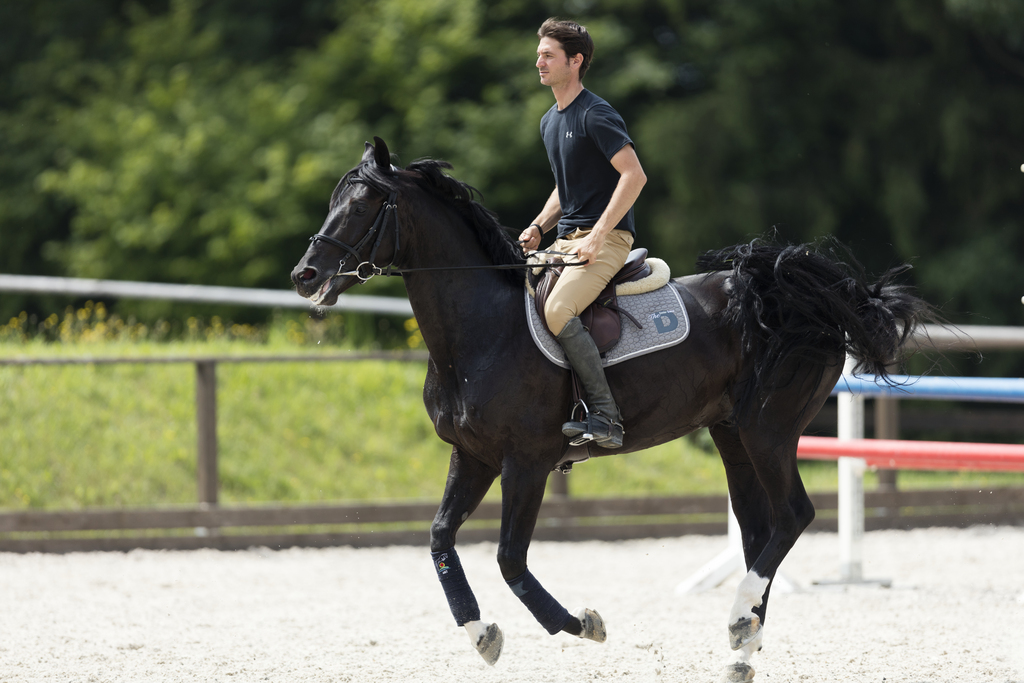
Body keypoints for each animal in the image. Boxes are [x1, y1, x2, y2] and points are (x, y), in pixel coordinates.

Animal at [290, 139, 929, 683]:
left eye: (364, 205)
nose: (305, 275)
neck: (480, 332)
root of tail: (790, 295)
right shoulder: (471, 456)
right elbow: (440, 539)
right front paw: (482, 634)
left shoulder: (527, 462)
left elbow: (510, 559)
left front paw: (579, 624)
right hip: (731, 434)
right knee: (760, 531)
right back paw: (742, 645)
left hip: (767, 429)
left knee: (793, 515)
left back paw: (739, 621)